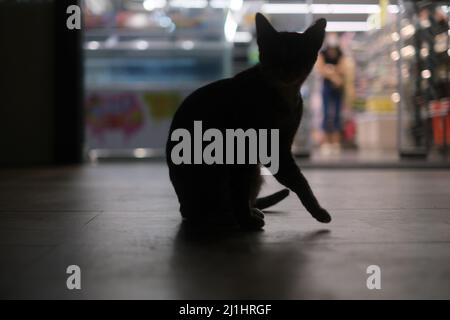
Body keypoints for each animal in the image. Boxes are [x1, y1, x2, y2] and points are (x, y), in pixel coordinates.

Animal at [165, 13, 330, 230]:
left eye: (298, 55)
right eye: (275, 54)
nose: (286, 69)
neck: (284, 95)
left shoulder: (281, 147)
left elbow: (299, 181)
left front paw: (317, 211)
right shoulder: (244, 149)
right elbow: (241, 190)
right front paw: (245, 221)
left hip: (254, 172)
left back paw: (248, 211)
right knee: (201, 211)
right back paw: (229, 217)